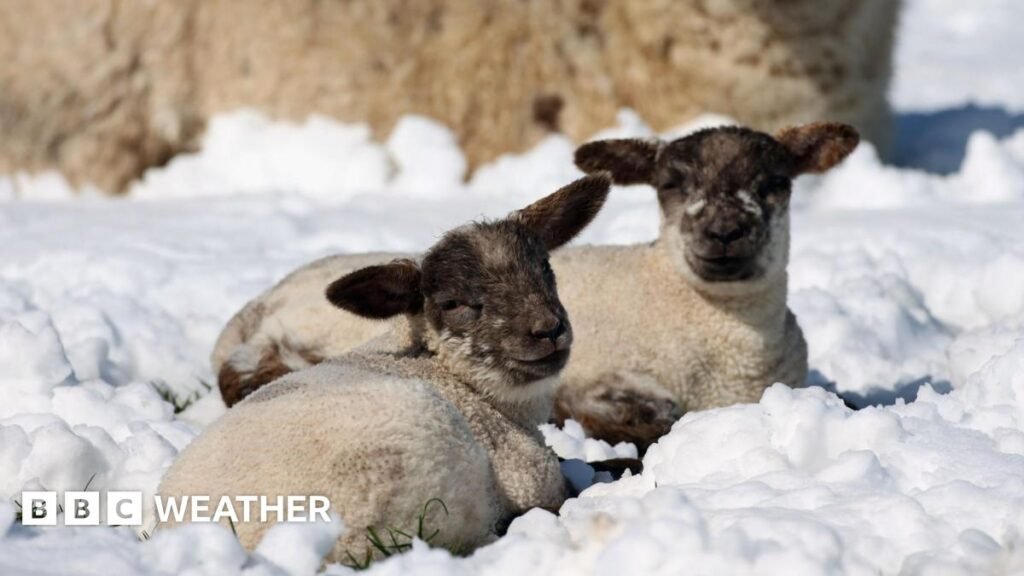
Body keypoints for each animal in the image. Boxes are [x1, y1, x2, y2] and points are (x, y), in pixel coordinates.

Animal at [211, 122, 859, 450]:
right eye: (671, 185)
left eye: (776, 182)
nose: (724, 234)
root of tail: (255, 305)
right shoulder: (604, 376)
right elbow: (655, 413)